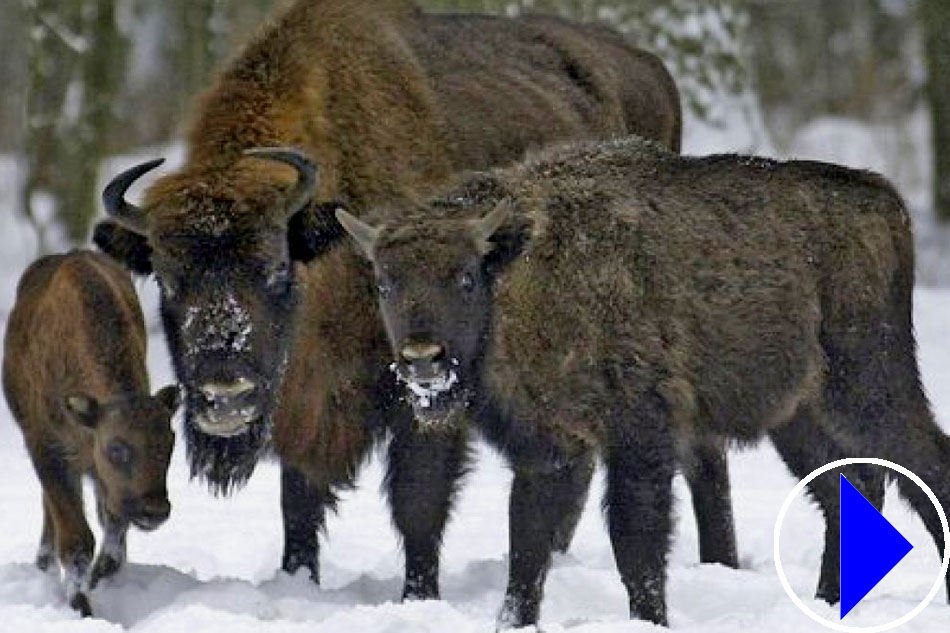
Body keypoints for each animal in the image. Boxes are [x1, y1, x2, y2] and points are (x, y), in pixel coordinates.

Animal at [1, 249, 180, 616]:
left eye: (169, 444)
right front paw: (81, 604)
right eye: (116, 448)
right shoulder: (49, 452)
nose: (154, 510)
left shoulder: (104, 479)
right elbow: (77, 538)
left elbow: (112, 521)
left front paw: (99, 576)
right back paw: (44, 563)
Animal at [93, 0, 736, 596]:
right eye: (167, 280)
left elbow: (417, 505)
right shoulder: (306, 400)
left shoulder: (425, 394)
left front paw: (417, 596)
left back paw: (721, 564)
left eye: (276, 270)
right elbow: (298, 504)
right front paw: (299, 578)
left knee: (703, 449)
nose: (224, 395)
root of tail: (650, 69)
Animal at [338, 138, 948, 628]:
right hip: (796, 417)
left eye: (465, 277)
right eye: (386, 283)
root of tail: (883, 199)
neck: (520, 273)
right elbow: (527, 548)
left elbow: (634, 540)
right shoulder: (549, 449)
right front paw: (514, 622)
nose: (422, 360)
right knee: (850, 487)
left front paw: (649, 619)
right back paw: (826, 604)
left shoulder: (637, 434)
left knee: (923, 463)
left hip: (869, 383)